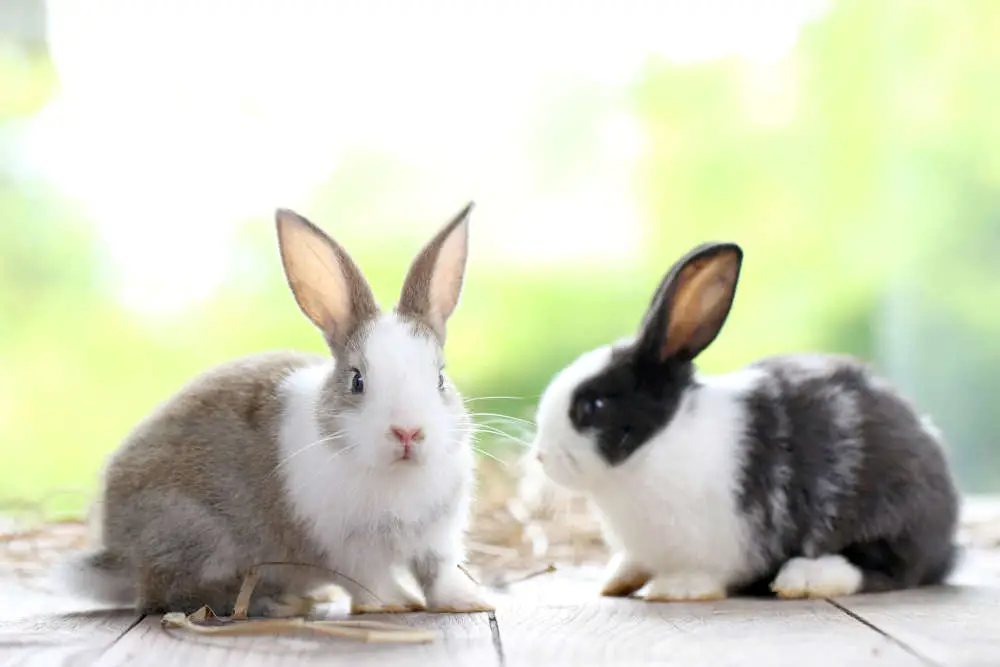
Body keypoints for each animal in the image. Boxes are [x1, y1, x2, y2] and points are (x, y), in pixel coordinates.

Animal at [53, 202, 492, 616]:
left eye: (440, 378)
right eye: (357, 381)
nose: (408, 432)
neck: (398, 475)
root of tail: (118, 552)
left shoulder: (437, 540)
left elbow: (439, 573)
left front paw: (468, 601)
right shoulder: (348, 552)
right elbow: (371, 582)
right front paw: (395, 603)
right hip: (199, 536)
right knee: (171, 595)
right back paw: (279, 604)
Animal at [532, 243, 960, 604]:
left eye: (594, 404)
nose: (540, 457)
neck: (658, 445)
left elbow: (704, 574)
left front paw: (674, 589)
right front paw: (616, 580)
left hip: (888, 516)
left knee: (886, 570)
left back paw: (802, 578)